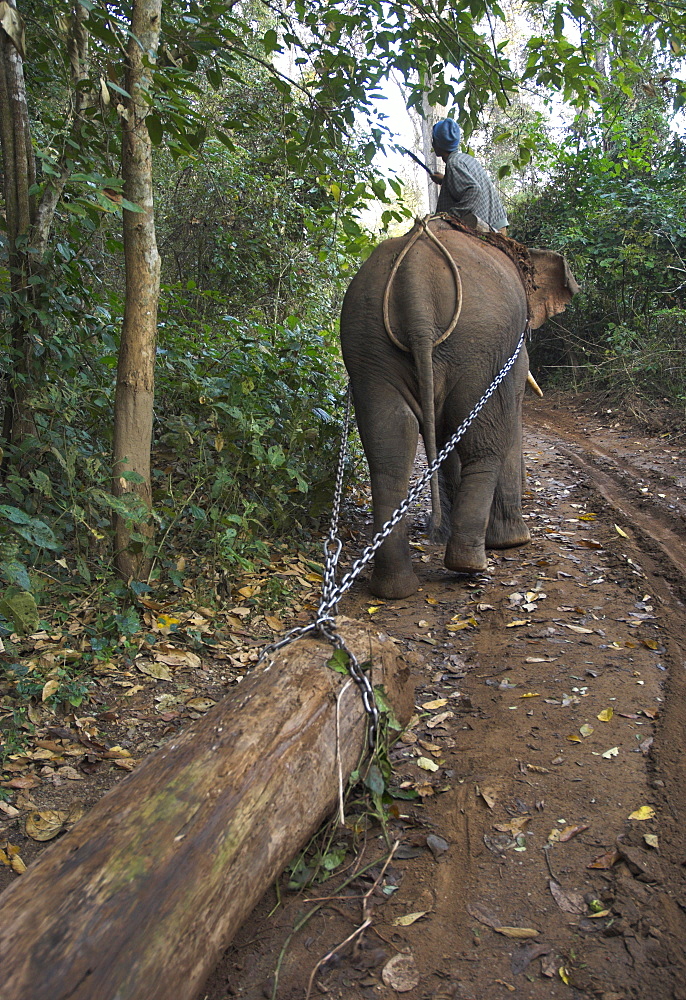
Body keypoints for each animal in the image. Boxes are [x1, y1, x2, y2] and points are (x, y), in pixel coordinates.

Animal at [340, 215, 580, 596]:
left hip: (367, 342)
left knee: (389, 446)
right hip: (480, 345)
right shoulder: (511, 353)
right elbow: (505, 417)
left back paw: (395, 589)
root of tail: (416, 274)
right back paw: (471, 562)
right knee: (485, 440)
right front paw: (513, 542)